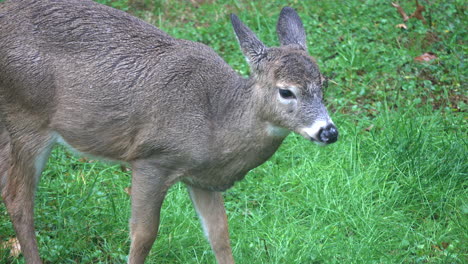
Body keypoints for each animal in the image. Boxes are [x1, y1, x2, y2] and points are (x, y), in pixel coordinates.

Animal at [0, 1, 336, 262]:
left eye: (323, 83)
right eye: (286, 91)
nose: (329, 132)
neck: (216, 120)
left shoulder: (201, 179)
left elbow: (220, 236)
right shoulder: (153, 159)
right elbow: (144, 235)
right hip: (27, 117)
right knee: (18, 200)